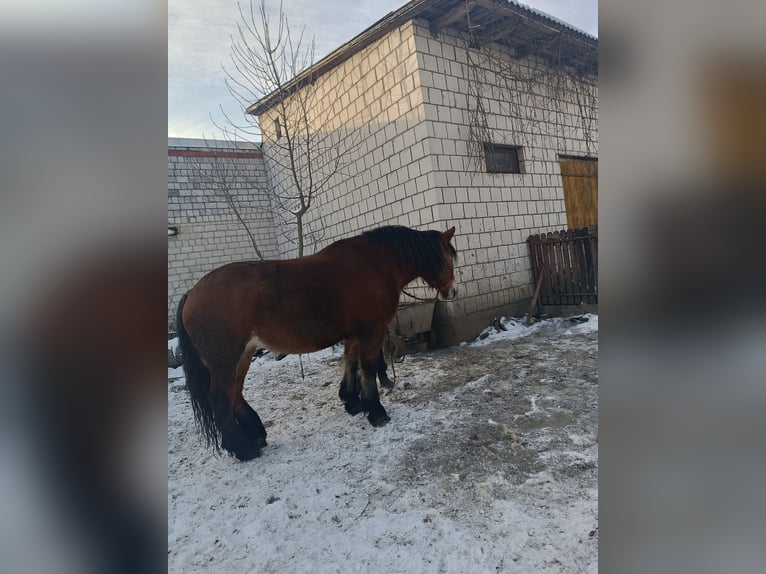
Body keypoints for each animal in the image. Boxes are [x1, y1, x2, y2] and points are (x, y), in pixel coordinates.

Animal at [175, 225, 457, 461]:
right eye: (447, 259)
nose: (453, 291)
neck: (375, 263)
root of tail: (192, 293)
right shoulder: (371, 330)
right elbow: (367, 367)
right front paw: (376, 411)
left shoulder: (353, 334)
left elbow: (349, 363)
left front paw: (352, 402)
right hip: (225, 361)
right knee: (220, 399)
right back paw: (243, 449)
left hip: (243, 355)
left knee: (235, 393)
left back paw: (256, 435)